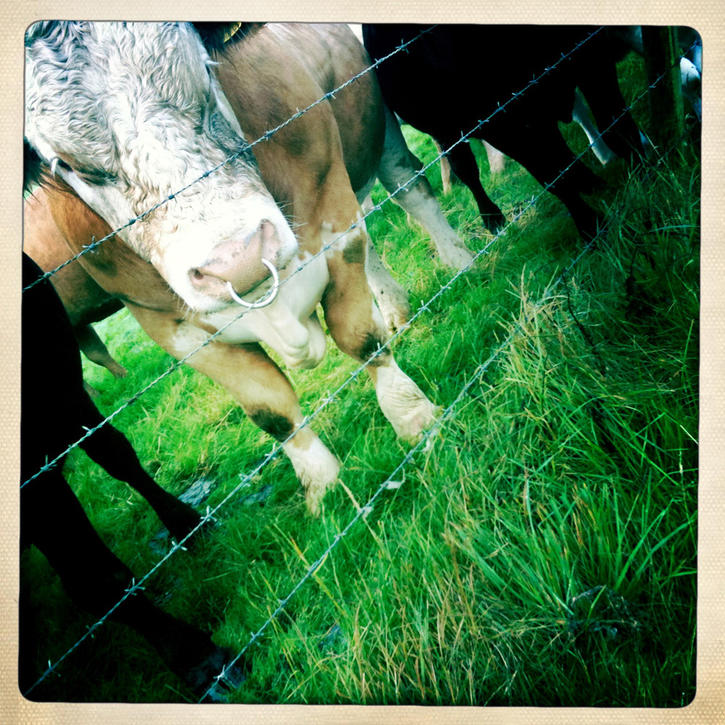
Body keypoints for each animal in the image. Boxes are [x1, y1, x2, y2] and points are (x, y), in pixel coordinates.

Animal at [24, 22, 439, 516]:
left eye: (207, 72)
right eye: (66, 164)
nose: (238, 260)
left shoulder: (334, 214)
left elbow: (360, 338)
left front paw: (416, 419)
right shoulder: (171, 326)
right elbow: (270, 410)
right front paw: (323, 488)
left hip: (383, 135)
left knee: (410, 190)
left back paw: (467, 260)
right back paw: (397, 310)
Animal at [362, 24, 648, 240]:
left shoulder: (588, 53)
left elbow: (619, 127)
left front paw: (648, 176)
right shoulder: (497, 123)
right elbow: (550, 176)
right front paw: (591, 227)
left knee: (559, 149)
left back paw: (590, 181)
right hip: (450, 131)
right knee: (466, 170)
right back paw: (492, 218)